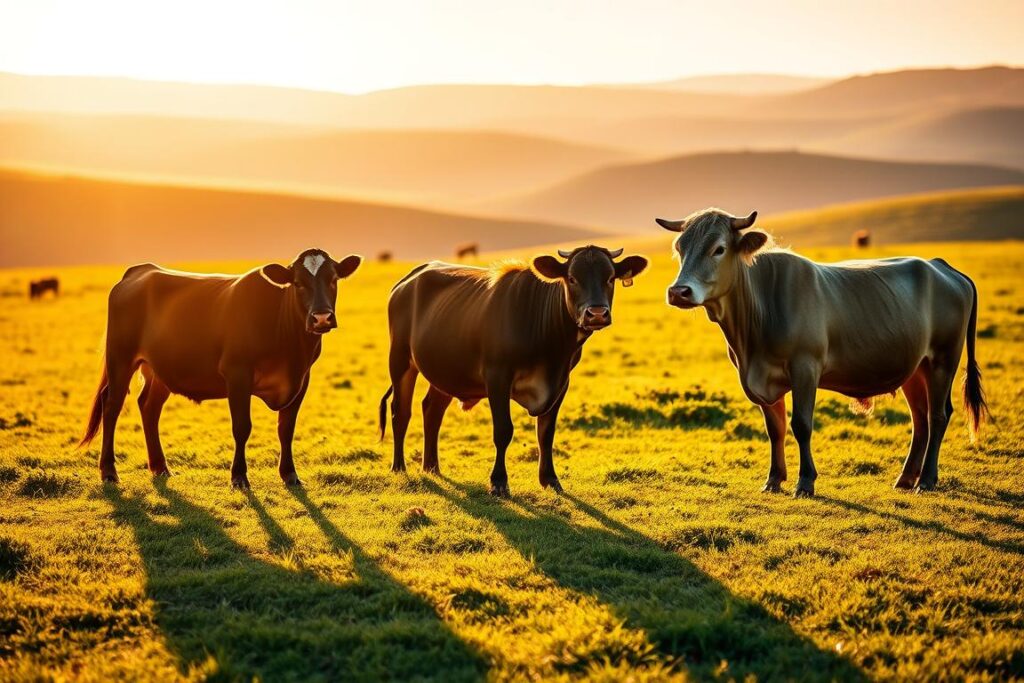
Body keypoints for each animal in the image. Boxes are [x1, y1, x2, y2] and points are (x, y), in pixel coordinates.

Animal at [79, 249, 362, 488]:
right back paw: (109, 471)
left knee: (149, 406)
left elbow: (286, 428)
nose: (321, 317)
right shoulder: (237, 374)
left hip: (159, 369)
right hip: (120, 358)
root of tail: (140, 270)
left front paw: (290, 474)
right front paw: (239, 476)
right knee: (111, 405)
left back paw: (160, 467)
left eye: (333, 279)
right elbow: (242, 427)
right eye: (298, 283)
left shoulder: (301, 379)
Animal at [379, 246, 648, 496]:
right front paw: (498, 481)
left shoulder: (561, 383)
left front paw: (550, 479)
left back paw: (432, 467)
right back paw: (399, 467)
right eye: (572, 278)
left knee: (432, 410)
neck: (552, 350)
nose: (597, 313)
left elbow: (546, 433)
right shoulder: (497, 377)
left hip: (446, 369)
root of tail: (410, 278)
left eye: (610, 277)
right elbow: (503, 430)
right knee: (400, 412)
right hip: (400, 360)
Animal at [659, 208, 986, 497]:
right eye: (680, 248)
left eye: (719, 249)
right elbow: (775, 428)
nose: (678, 292)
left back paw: (926, 480)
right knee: (920, 418)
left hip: (943, 358)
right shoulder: (763, 380)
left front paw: (805, 482)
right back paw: (906, 478)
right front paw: (773, 480)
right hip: (915, 368)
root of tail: (940, 266)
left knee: (938, 416)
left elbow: (801, 425)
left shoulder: (805, 368)